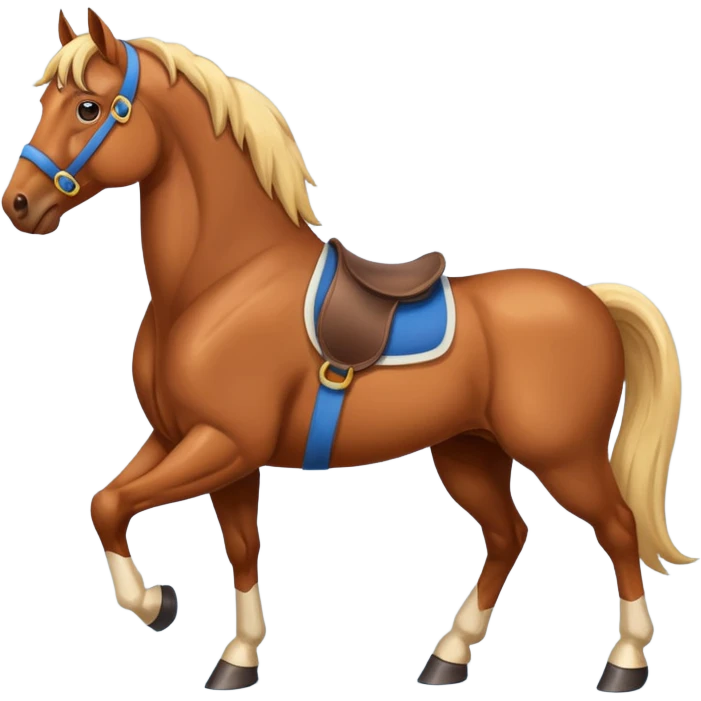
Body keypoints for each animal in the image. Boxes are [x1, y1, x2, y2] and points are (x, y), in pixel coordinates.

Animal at [2, 9, 693, 694]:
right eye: (46, 101)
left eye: (88, 107)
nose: (19, 204)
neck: (219, 282)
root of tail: (593, 300)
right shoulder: (189, 442)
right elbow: (203, 535)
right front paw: (234, 658)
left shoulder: (222, 443)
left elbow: (115, 505)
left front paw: (158, 606)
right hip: (469, 451)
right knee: (507, 535)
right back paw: (447, 658)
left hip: (563, 455)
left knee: (618, 527)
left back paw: (624, 664)